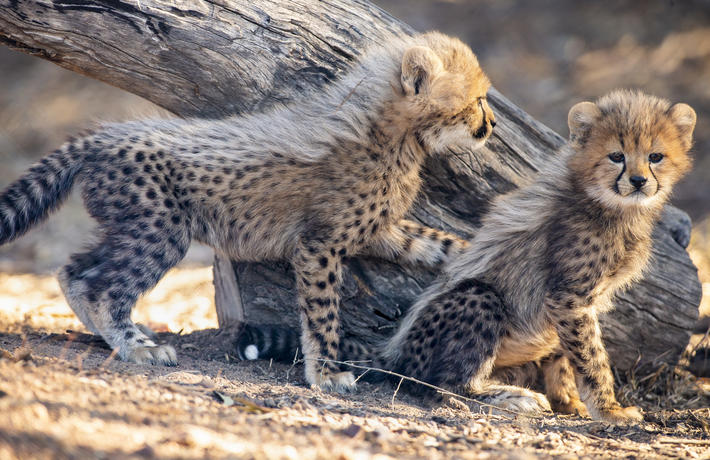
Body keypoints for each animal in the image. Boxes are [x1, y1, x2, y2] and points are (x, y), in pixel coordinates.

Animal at [0, 31, 495, 391]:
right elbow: (322, 314)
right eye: (477, 100)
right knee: (103, 287)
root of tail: (104, 135)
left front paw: (480, 254)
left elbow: (441, 244)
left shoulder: (379, 229)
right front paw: (325, 373)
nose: (491, 124)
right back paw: (136, 346)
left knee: (73, 270)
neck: (395, 133)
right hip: (161, 230)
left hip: (130, 225)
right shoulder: (319, 244)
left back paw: (106, 335)